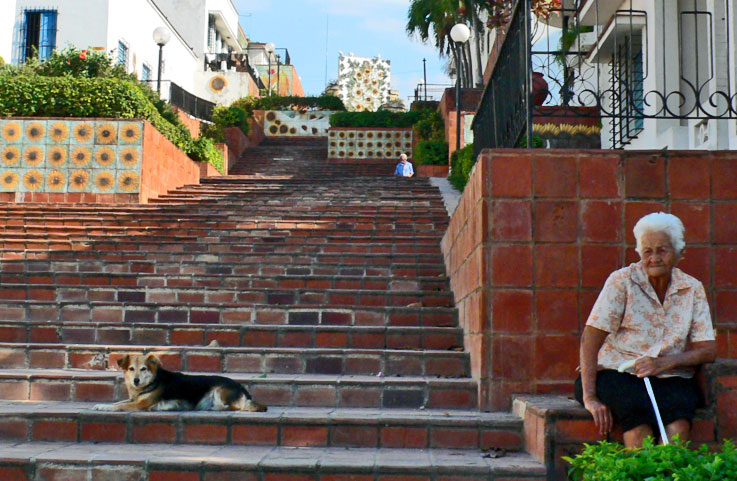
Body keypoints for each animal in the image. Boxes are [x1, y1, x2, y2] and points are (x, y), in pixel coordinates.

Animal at [90, 352, 266, 412]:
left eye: (144, 369)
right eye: (131, 369)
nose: (136, 380)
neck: (152, 382)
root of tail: (242, 388)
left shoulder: (140, 405)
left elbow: (118, 406)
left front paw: (105, 408)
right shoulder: (134, 399)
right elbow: (117, 402)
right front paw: (101, 405)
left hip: (219, 390)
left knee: (237, 407)